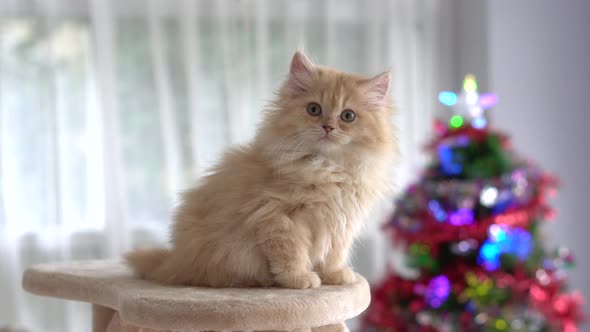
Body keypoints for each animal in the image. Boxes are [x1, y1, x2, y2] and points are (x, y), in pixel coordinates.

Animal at [127, 50, 400, 290]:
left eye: (348, 116)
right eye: (314, 109)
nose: (328, 127)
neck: (328, 167)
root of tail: (172, 261)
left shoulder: (341, 222)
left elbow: (333, 254)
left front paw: (333, 275)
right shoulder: (278, 216)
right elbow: (291, 253)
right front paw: (299, 279)